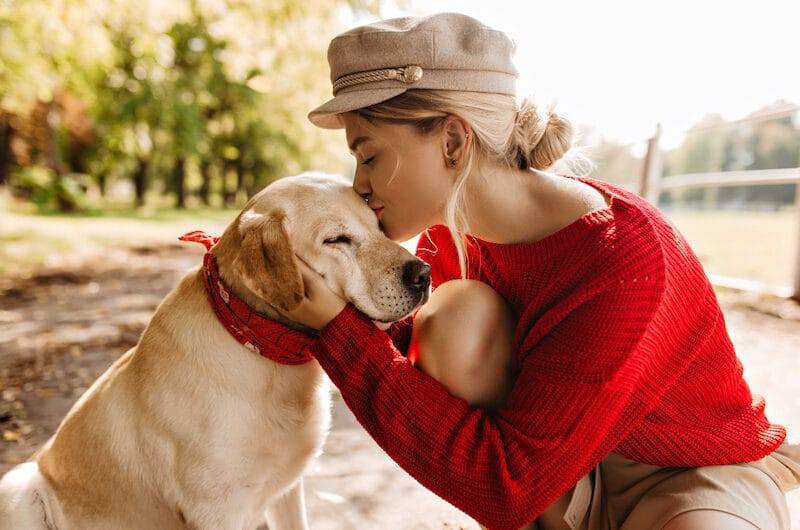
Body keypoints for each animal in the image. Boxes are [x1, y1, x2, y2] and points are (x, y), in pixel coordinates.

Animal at [0, 173, 432, 528]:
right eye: (336, 240)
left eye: (378, 226)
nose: (424, 273)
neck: (261, 346)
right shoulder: (216, 512)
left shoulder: (287, 492)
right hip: (20, 484)